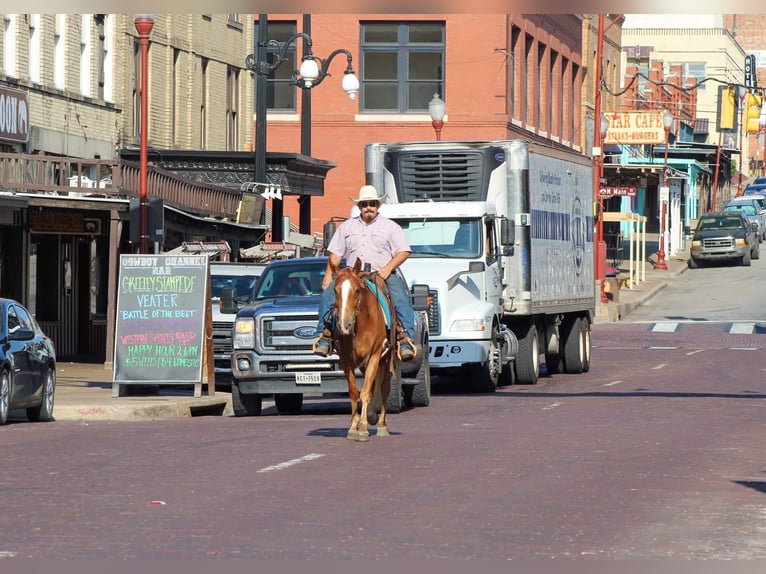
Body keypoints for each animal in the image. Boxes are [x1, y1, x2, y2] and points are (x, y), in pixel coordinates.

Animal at [332, 258, 396, 444]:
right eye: (335, 290)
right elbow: (354, 392)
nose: (344, 325)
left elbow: (366, 391)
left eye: (356, 290)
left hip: (386, 361)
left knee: (384, 388)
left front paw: (363, 429)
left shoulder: (374, 355)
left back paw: (381, 425)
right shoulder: (346, 359)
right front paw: (354, 426)